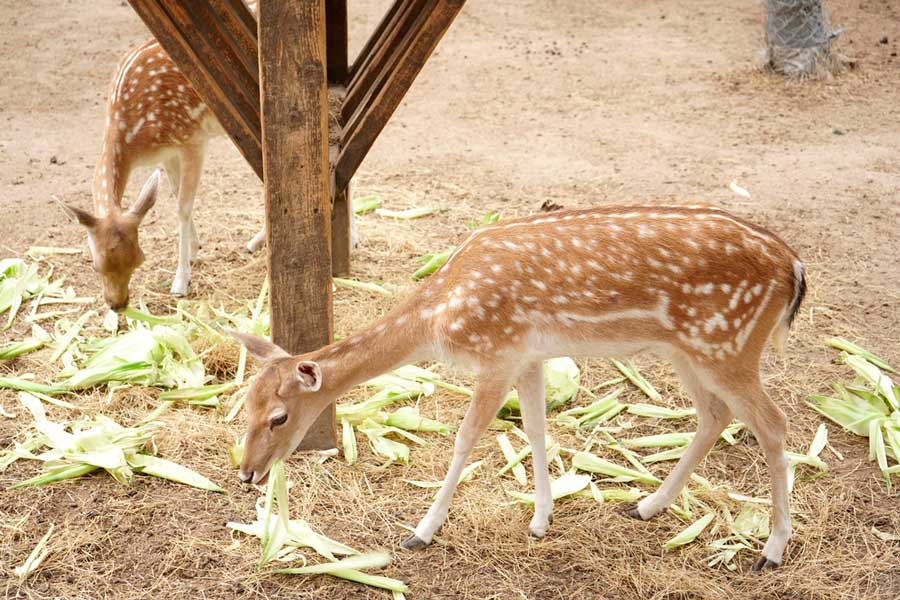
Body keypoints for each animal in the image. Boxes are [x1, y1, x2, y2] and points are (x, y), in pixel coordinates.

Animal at [229, 204, 807, 571]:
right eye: (245, 404)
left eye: (279, 417)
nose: (248, 473)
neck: (440, 316)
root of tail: (795, 269)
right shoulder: (528, 356)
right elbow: (534, 429)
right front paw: (541, 520)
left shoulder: (497, 353)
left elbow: (465, 440)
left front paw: (421, 532)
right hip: (686, 350)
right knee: (715, 415)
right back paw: (646, 506)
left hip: (727, 345)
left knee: (773, 423)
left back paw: (772, 549)